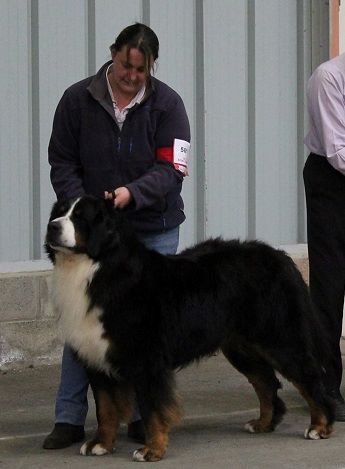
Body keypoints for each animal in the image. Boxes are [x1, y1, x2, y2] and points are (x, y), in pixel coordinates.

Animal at [45, 194, 334, 460]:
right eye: (59, 212)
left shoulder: (147, 361)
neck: (96, 269)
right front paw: (101, 444)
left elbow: (152, 408)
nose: (52, 227)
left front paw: (152, 449)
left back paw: (320, 426)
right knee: (266, 382)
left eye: (80, 217)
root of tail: (280, 257)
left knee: (309, 377)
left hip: (280, 339)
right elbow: (105, 408)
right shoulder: (95, 356)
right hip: (241, 348)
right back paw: (263, 423)